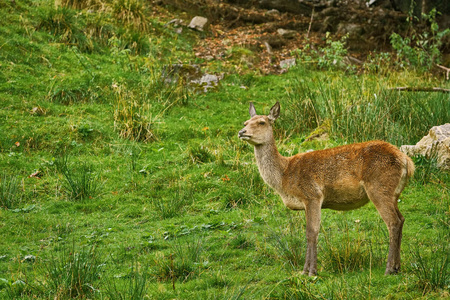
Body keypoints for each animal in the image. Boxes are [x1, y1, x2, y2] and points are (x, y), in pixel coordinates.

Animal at [239, 102, 414, 276]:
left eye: (262, 122)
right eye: (245, 122)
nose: (242, 132)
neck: (284, 177)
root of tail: (407, 161)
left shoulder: (312, 195)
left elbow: (312, 232)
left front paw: (311, 271)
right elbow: (309, 232)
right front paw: (305, 270)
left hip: (379, 188)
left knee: (393, 221)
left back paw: (389, 268)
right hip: (394, 193)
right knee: (402, 219)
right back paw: (397, 267)